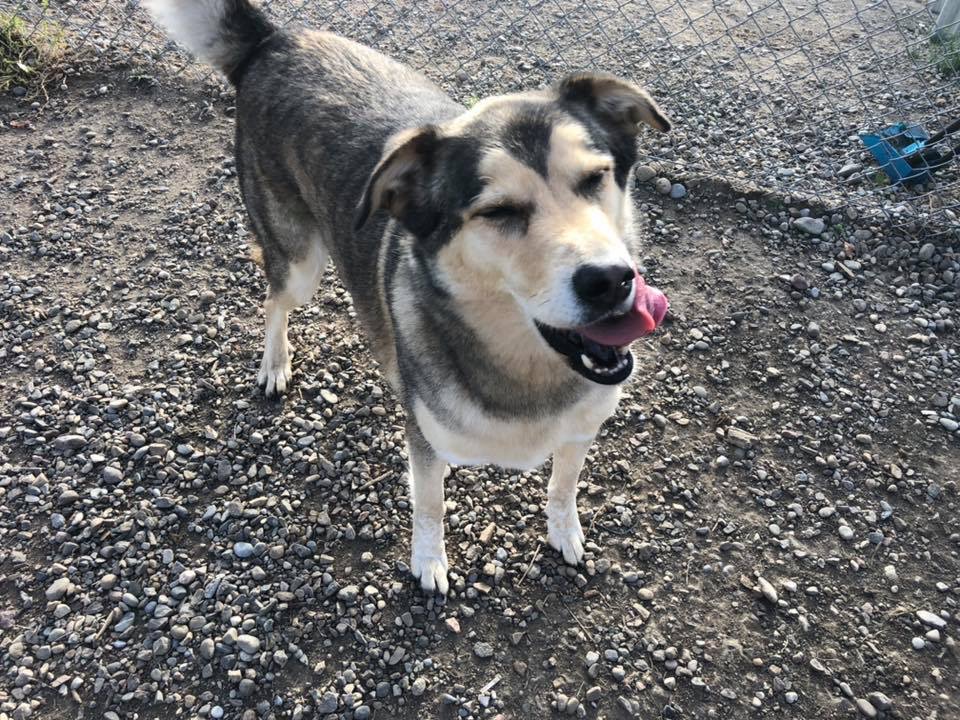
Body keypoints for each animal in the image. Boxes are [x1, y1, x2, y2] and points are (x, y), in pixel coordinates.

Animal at [147, 0, 670, 594]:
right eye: (499, 212)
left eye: (596, 177)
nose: (611, 280)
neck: (529, 374)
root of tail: (274, 40)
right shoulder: (424, 441)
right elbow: (430, 505)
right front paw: (429, 562)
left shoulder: (580, 428)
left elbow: (564, 486)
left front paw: (564, 532)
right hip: (300, 261)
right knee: (274, 300)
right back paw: (275, 364)